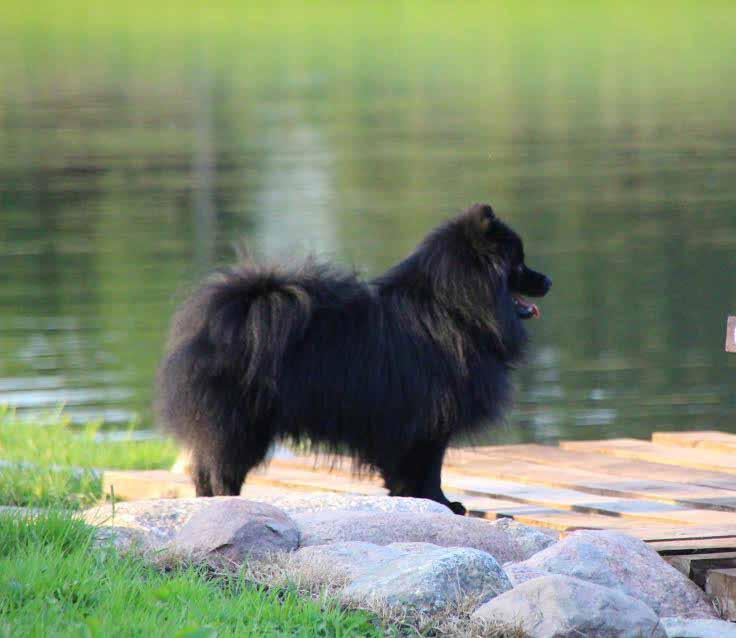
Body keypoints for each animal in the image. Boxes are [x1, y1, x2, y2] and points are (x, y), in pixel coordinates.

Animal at [161, 205, 552, 516]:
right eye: (518, 264)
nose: (547, 279)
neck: (453, 308)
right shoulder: (428, 424)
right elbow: (428, 470)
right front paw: (441, 504)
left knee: (203, 470)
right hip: (241, 425)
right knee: (219, 470)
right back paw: (230, 503)